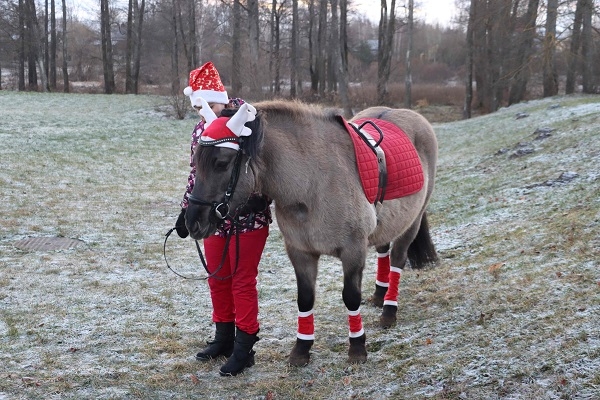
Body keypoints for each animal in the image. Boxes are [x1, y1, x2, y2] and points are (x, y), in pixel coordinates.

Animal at [185, 100, 438, 366]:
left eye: (222, 163)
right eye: (196, 161)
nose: (192, 221)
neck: (314, 184)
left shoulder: (353, 250)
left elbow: (351, 297)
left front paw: (357, 347)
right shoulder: (300, 252)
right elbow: (305, 298)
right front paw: (301, 349)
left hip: (412, 222)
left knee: (397, 259)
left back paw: (389, 310)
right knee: (383, 250)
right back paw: (380, 295)